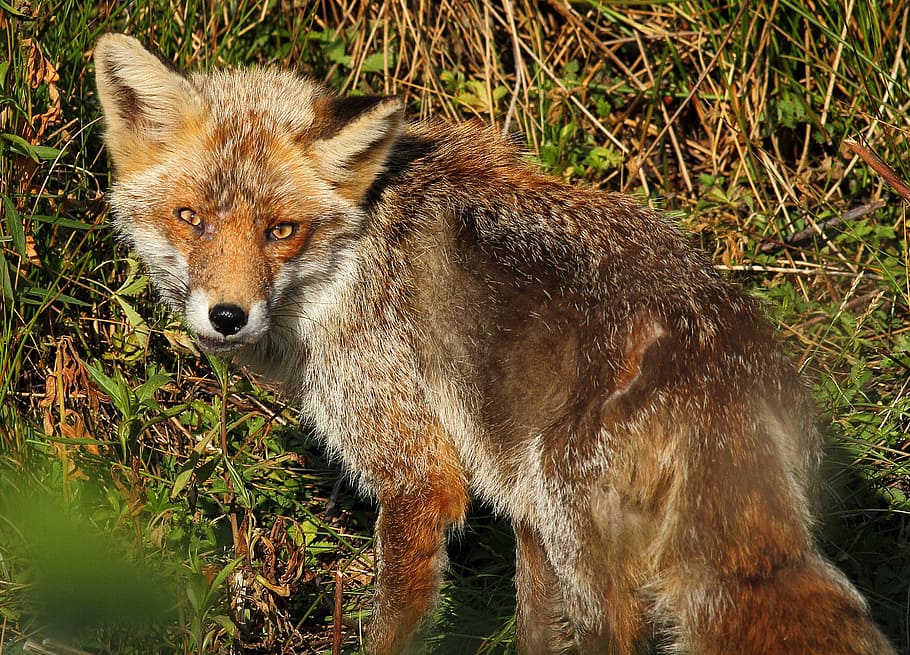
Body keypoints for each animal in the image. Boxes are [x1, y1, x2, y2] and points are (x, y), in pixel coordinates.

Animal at [94, 33, 895, 654]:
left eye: (280, 230)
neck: (351, 260)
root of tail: (722, 360)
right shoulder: (508, 495)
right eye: (190, 218)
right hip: (552, 515)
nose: (227, 316)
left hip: (578, 532)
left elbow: (396, 619)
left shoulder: (418, 470)